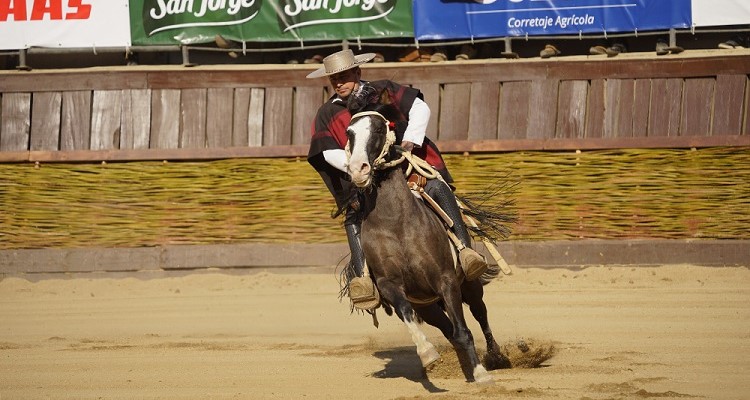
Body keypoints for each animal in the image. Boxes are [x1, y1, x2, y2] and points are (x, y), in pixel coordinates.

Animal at [346, 91, 512, 384]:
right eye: (350, 133)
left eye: (378, 129)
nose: (358, 169)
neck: (396, 223)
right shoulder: (392, 286)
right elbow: (409, 314)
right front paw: (428, 354)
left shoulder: (446, 280)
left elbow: (464, 330)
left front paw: (481, 373)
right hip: (429, 305)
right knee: (447, 327)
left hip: (469, 285)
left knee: (479, 314)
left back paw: (495, 357)